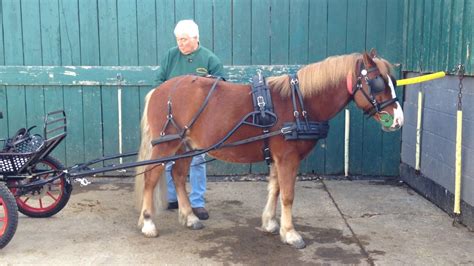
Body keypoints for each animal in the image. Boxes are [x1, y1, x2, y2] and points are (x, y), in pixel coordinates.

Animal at [133, 48, 404, 248]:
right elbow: (287, 194)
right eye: (377, 83)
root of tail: (160, 89)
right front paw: (290, 233)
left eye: (393, 81)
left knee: (178, 176)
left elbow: (275, 189)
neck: (299, 103)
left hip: (186, 146)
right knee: (151, 178)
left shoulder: (277, 157)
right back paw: (148, 223)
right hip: (166, 145)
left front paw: (271, 224)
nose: (398, 120)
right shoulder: (287, 157)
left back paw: (190, 217)